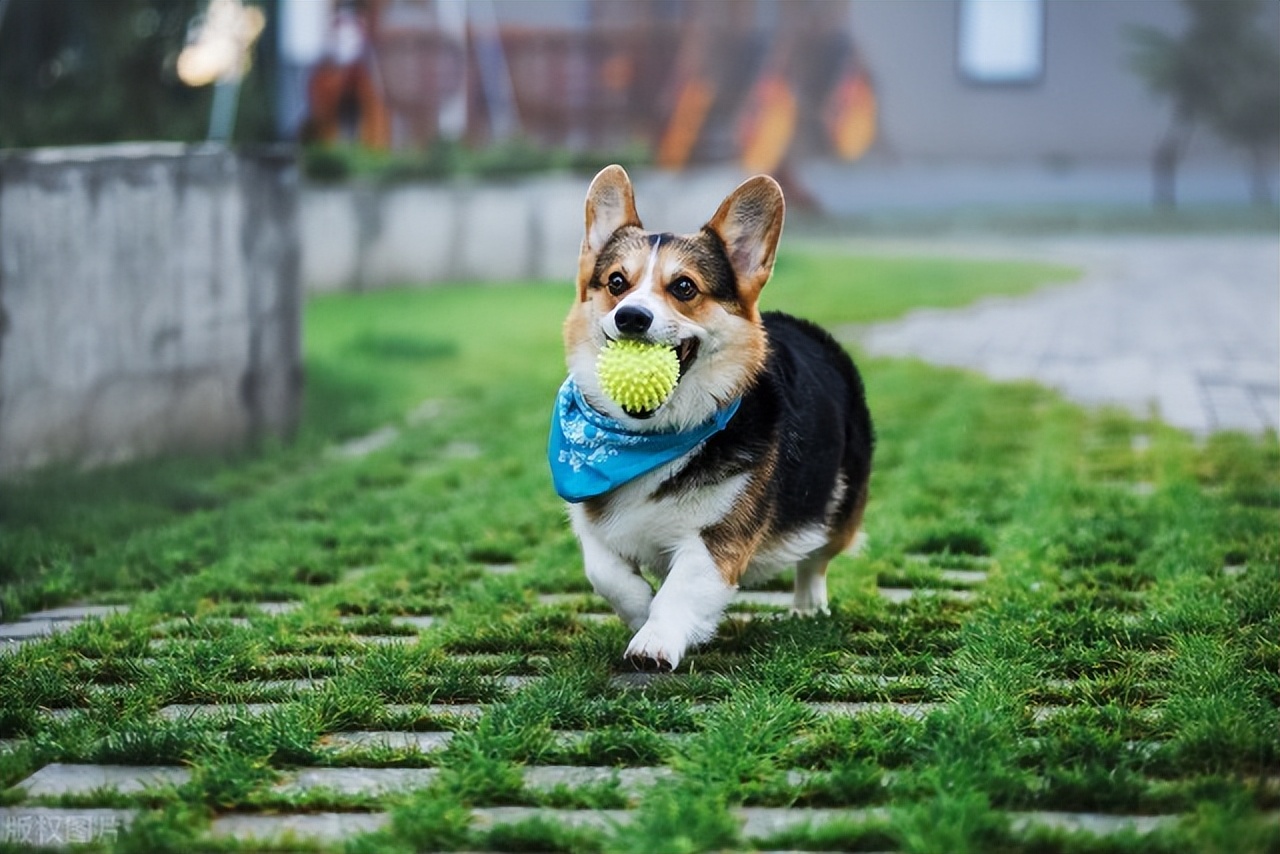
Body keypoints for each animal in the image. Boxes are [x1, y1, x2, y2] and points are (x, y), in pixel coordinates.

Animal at [545, 166, 875, 670]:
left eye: (684, 287)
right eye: (617, 282)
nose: (631, 317)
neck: (647, 439)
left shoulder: (716, 538)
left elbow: (680, 590)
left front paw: (653, 642)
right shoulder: (593, 526)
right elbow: (606, 574)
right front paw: (639, 611)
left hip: (836, 503)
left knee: (815, 557)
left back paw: (808, 606)